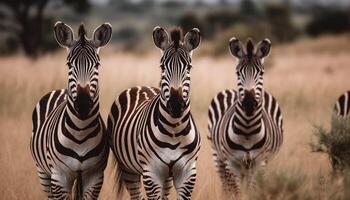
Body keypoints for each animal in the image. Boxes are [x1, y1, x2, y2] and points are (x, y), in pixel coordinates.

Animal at [30, 21, 112, 199]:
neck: (81, 131)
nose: (83, 104)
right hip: (43, 173)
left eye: (97, 65)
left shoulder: (94, 176)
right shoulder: (59, 177)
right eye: (69, 65)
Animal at [108, 27, 202, 200]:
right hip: (128, 169)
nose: (176, 105)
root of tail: (140, 86)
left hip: (167, 177)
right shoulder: (152, 173)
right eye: (162, 67)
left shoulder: (188, 173)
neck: (174, 131)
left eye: (189, 67)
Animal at [208, 37, 284, 197]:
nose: (249, 103)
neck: (248, 130)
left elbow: (252, 190)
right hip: (217, 156)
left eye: (261, 73)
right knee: (226, 184)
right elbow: (238, 191)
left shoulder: (260, 161)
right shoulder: (232, 162)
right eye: (238, 73)